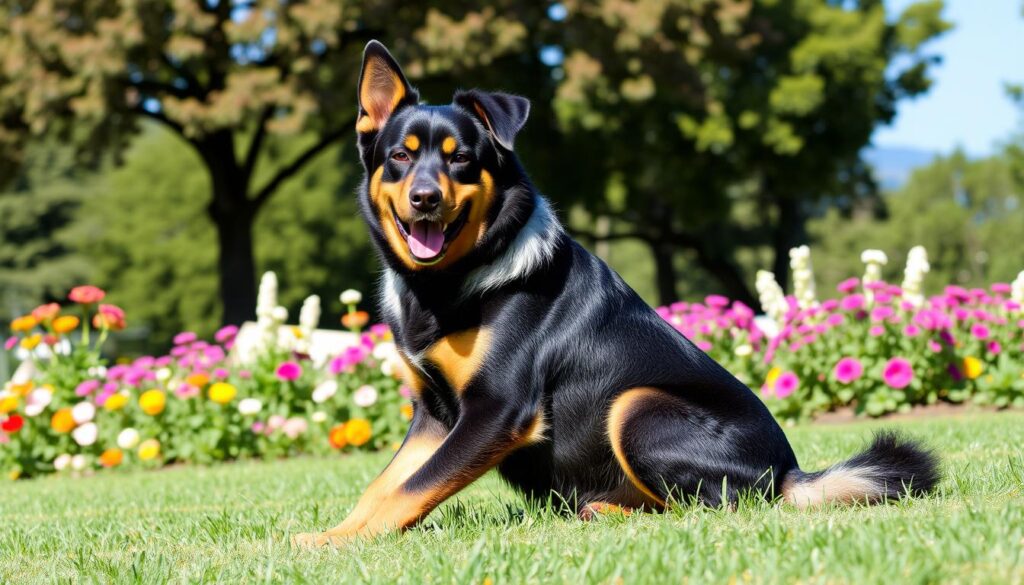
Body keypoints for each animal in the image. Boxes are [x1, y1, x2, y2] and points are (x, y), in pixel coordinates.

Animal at [288, 41, 937, 549]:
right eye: (400, 155)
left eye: (463, 160)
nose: (424, 198)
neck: (454, 279)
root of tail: (789, 473)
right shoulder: (434, 413)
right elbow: (385, 484)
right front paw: (330, 535)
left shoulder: (497, 410)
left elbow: (415, 487)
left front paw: (346, 544)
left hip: (636, 405)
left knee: (714, 507)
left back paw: (609, 510)